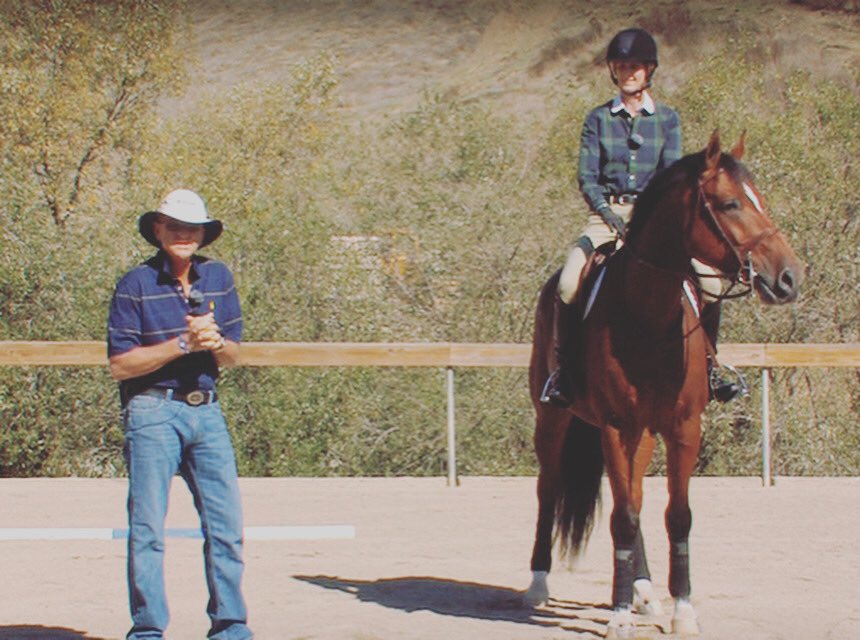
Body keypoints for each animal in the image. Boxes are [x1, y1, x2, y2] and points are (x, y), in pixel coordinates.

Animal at [524, 130, 803, 638]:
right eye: (730, 203)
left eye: (759, 198)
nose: (789, 277)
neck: (649, 316)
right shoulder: (617, 427)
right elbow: (623, 518)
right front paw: (617, 617)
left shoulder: (682, 428)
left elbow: (676, 516)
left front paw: (682, 610)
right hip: (553, 418)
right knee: (550, 490)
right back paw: (538, 584)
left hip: (645, 434)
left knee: (630, 495)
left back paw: (644, 591)